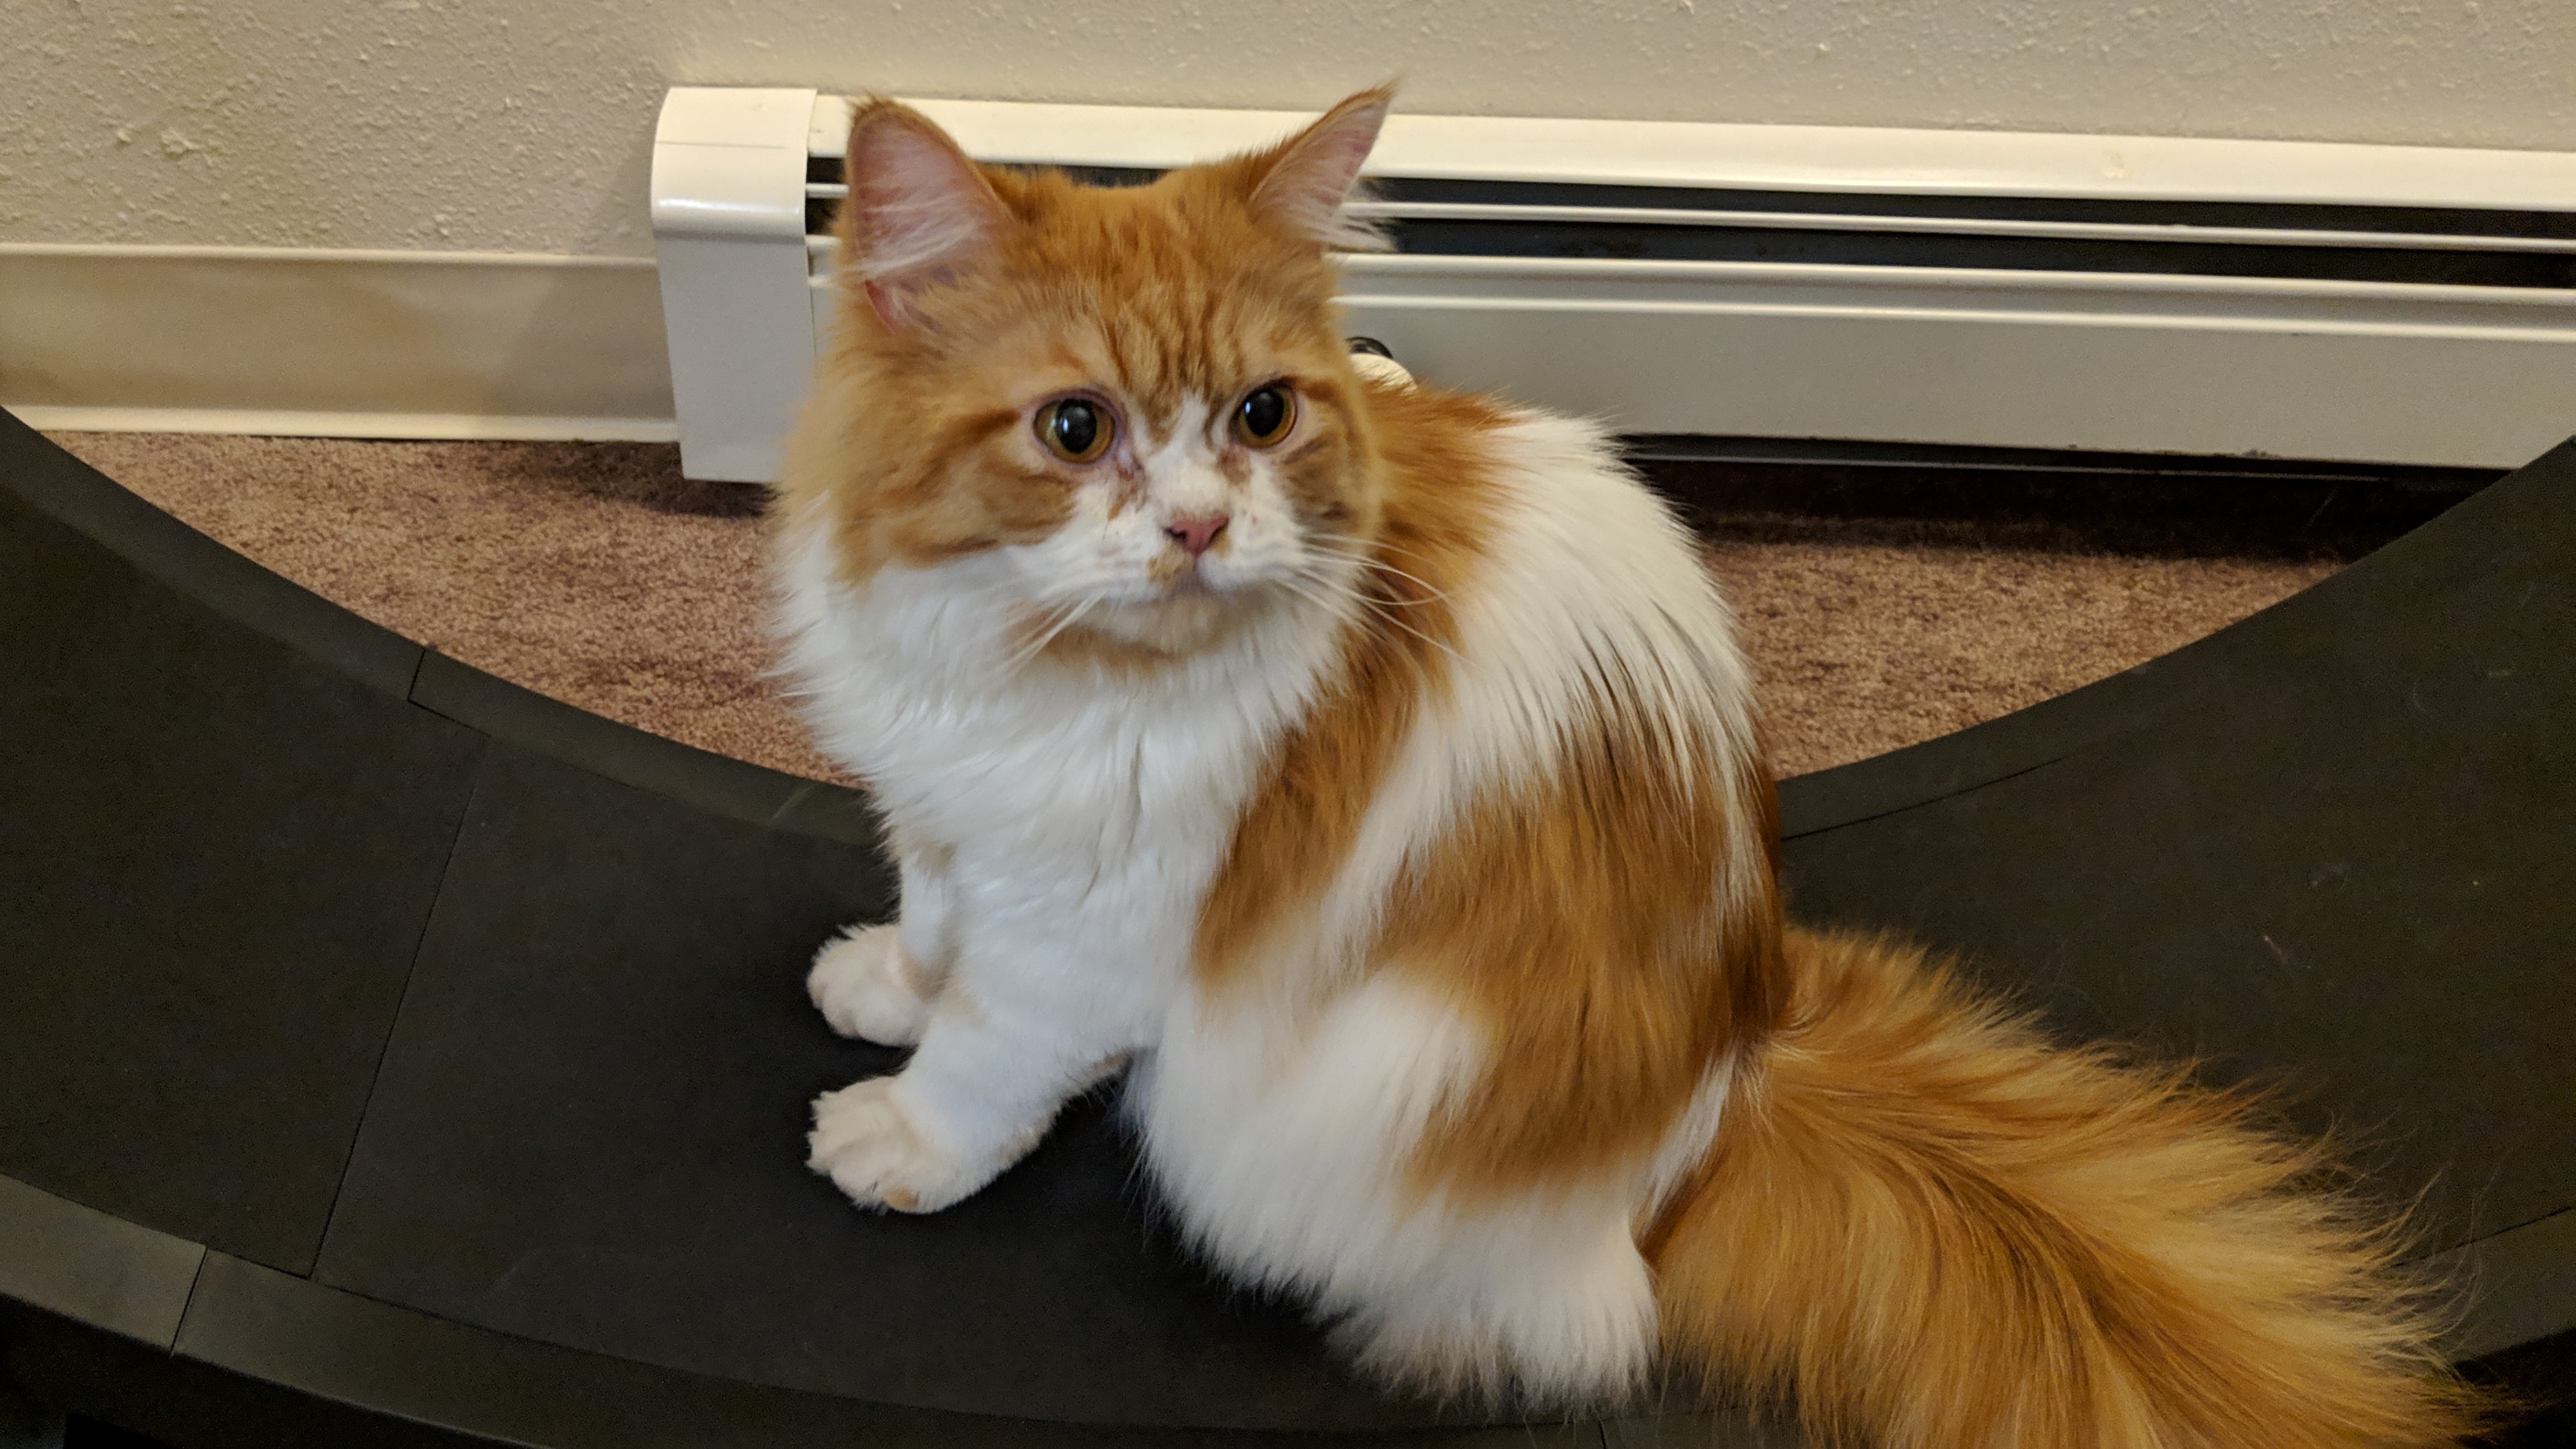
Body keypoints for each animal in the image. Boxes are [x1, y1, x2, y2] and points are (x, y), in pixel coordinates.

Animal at [762, 87, 2473, 1444]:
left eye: (1260, 415)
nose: (1196, 528)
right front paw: (884, 984)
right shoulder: (947, 815)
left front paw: (900, 1136)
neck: (1015, 654)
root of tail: (1722, 1086)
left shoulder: (1101, 919)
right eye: (1073, 428)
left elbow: (991, 1052)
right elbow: (934, 931)